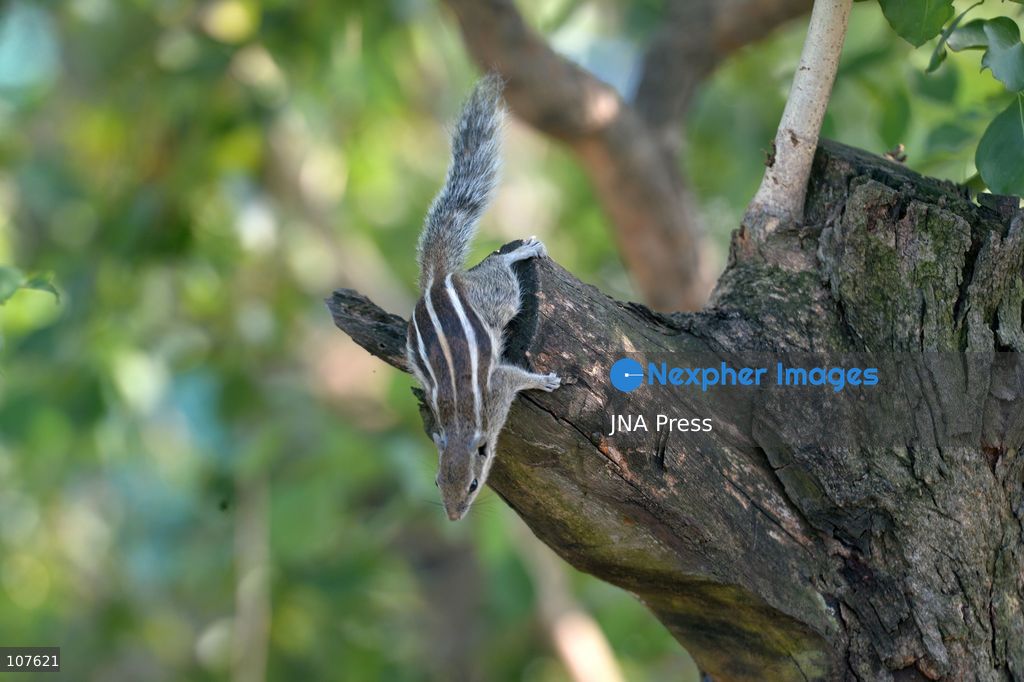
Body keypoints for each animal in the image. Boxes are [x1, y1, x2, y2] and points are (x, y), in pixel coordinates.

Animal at [405, 74, 561, 521]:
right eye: (438, 483)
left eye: (474, 485)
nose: (454, 516)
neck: (461, 425)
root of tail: (438, 282)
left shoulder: (499, 389)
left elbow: (517, 377)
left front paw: (546, 381)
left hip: (497, 297)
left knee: (502, 271)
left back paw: (519, 252)